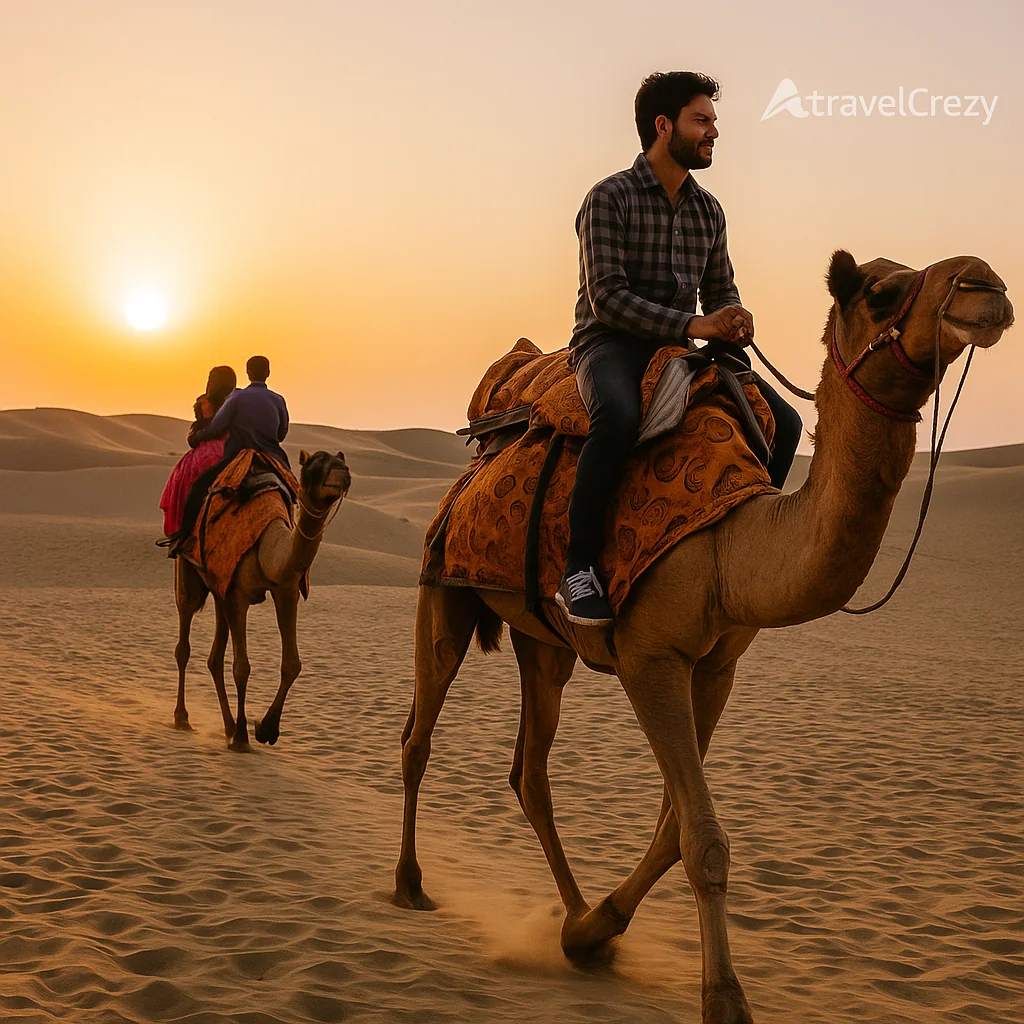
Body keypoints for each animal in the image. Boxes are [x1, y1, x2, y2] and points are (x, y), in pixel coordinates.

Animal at [173, 449, 351, 752]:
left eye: (342, 462)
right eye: (314, 465)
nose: (344, 473)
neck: (267, 550)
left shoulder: (286, 590)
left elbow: (292, 664)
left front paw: (266, 729)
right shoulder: (238, 596)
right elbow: (242, 667)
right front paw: (243, 738)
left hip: (219, 589)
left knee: (214, 658)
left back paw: (228, 726)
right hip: (188, 575)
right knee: (184, 641)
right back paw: (183, 718)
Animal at [393, 251, 1013, 1023]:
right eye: (880, 292)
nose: (987, 286)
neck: (731, 545)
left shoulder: (715, 668)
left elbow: (672, 827)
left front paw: (594, 931)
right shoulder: (649, 659)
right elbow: (701, 837)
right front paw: (723, 998)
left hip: (546, 644)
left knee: (530, 772)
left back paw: (570, 912)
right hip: (441, 586)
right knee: (419, 734)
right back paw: (410, 883)